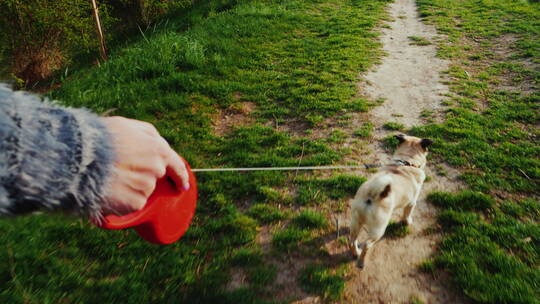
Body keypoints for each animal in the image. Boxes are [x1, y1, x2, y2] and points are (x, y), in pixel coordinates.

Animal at [350, 134, 434, 268]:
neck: (407, 162)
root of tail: (371, 195)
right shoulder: (411, 203)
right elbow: (407, 215)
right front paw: (407, 222)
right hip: (379, 229)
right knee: (367, 244)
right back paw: (361, 262)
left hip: (356, 222)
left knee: (352, 240)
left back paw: (356, 253)